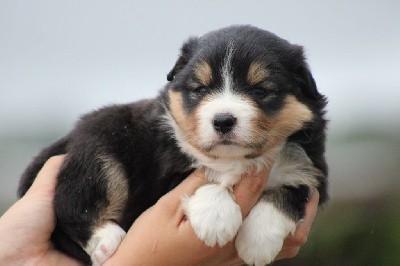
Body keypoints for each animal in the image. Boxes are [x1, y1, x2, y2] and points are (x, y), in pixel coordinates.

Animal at [18, 25, 328, 266]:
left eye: (261, 90)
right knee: (70, 204)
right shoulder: (164, 176)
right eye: (200, 89)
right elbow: (209, 177)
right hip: (100, 151)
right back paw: (107, 241)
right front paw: (216, 219)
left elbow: (289, 193)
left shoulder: (310, 170)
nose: (223, 121)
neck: (238, 157)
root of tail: (70, 136)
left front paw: (258, 242)